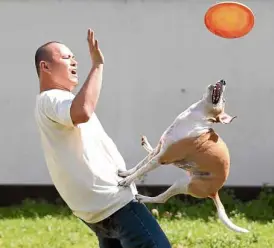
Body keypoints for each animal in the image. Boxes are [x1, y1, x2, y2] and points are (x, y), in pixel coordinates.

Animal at [119, 80, 249, 233]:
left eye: (223, 101)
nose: (223, 81)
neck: (193, 118)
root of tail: (214, 192)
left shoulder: (162, 157)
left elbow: (142, 169)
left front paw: (126, 181)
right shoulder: (159, 150)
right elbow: (139, 165)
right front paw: (125, 173)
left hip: (182, 184)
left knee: (161, 199)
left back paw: (142, 198)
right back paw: (145, 144)